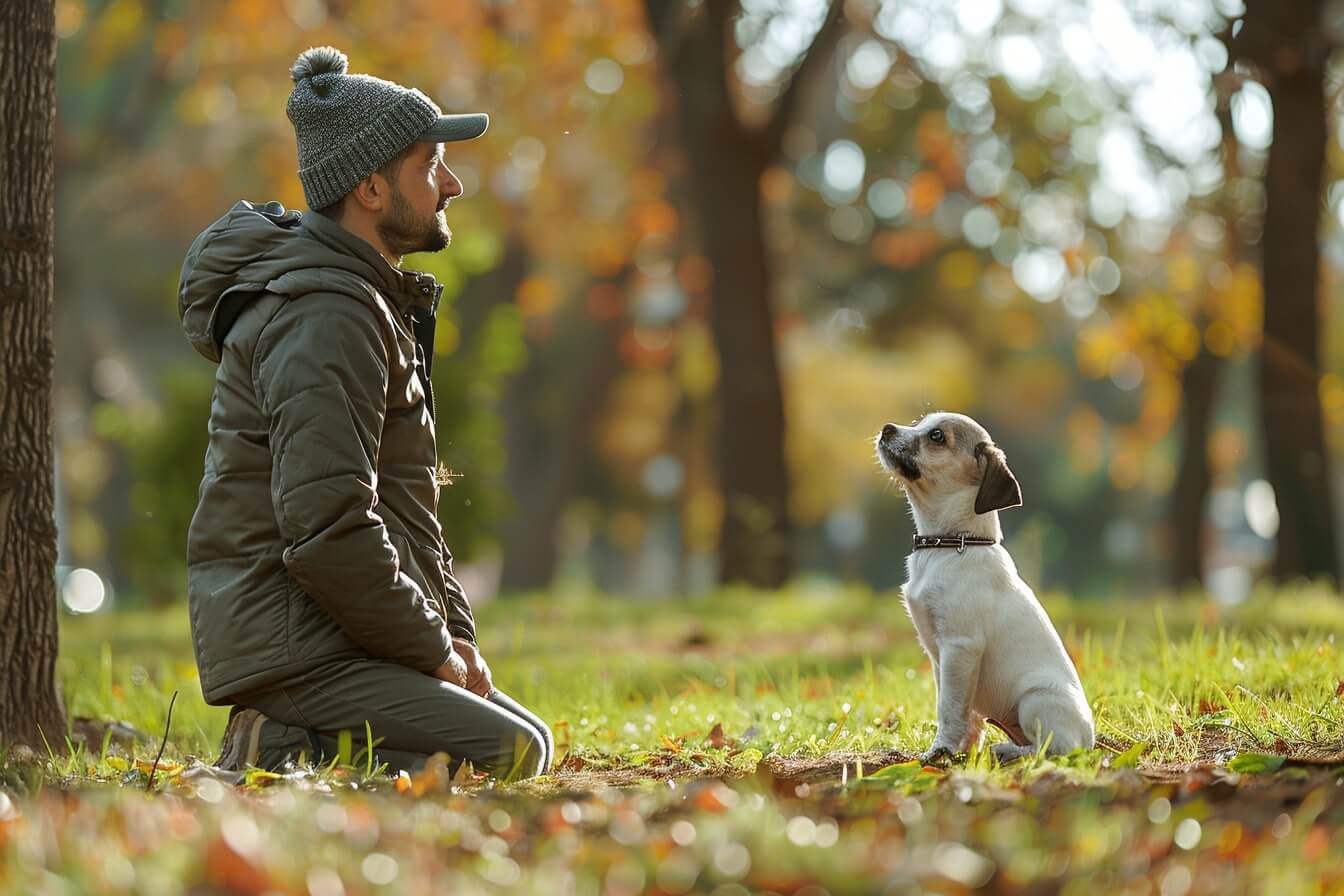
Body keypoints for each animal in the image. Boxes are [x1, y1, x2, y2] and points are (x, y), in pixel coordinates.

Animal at [881, 413, 1091, 763]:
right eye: (918, 421)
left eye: (937, 436)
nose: (887, 429)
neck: (951, 544)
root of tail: (1091, 739)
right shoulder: (941, 658)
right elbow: (961, 712)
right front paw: (960, 752)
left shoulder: (960, 647)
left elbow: (949, 709)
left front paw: (940, 751)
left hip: (1034, 699)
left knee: (1054, 748)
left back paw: (1010, 750)